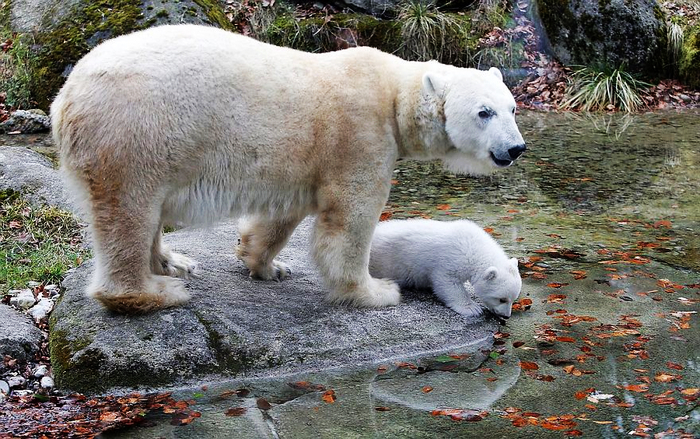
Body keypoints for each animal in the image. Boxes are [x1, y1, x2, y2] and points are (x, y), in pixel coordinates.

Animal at [52, 24, 524, 314]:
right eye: (483, 112)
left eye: (512, 107)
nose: (516, 148)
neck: (393, 94)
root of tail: (64, 97)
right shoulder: (359, 135)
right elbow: (350, 221)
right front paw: (376, 292)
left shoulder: (301, 159)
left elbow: (280, 215)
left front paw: (268, 265)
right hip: (135, 131)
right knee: (129, 211)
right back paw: (157, 291)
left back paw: (174, 262)